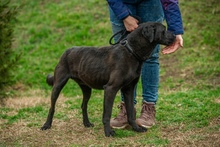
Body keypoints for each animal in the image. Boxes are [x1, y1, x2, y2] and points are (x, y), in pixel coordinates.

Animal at [40, 21, 175, 137]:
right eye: (163, 30)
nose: (175, 36)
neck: (131, 52)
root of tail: (66, 51)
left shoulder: (129, 89)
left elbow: (131, 112)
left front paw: (136, 128)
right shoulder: (110, 88)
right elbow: (107, 114)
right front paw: (108, 132)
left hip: (86, 88)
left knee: (83, 105)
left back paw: (86, 123)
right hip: (58, 84)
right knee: (52, 107)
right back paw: (46, 125)